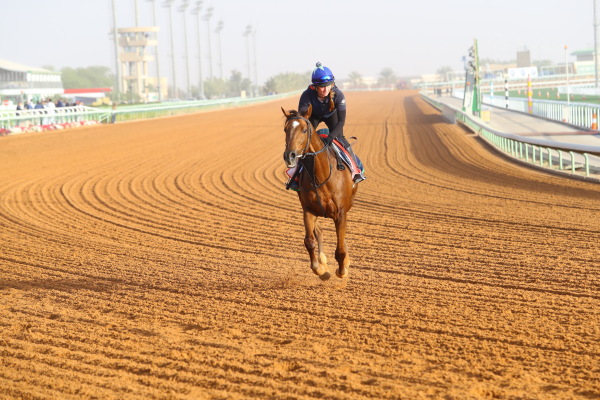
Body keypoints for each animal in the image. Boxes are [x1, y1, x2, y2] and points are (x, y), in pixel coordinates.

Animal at [282, 104, 356, 280]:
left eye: (304, 130)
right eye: (285, 129)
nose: (290, 156)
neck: (320, 176)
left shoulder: (341, 213)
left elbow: (340, 248)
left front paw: (342, 270)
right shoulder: (308, 211)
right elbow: (309, 241)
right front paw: (320, 270)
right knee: (319, 232)